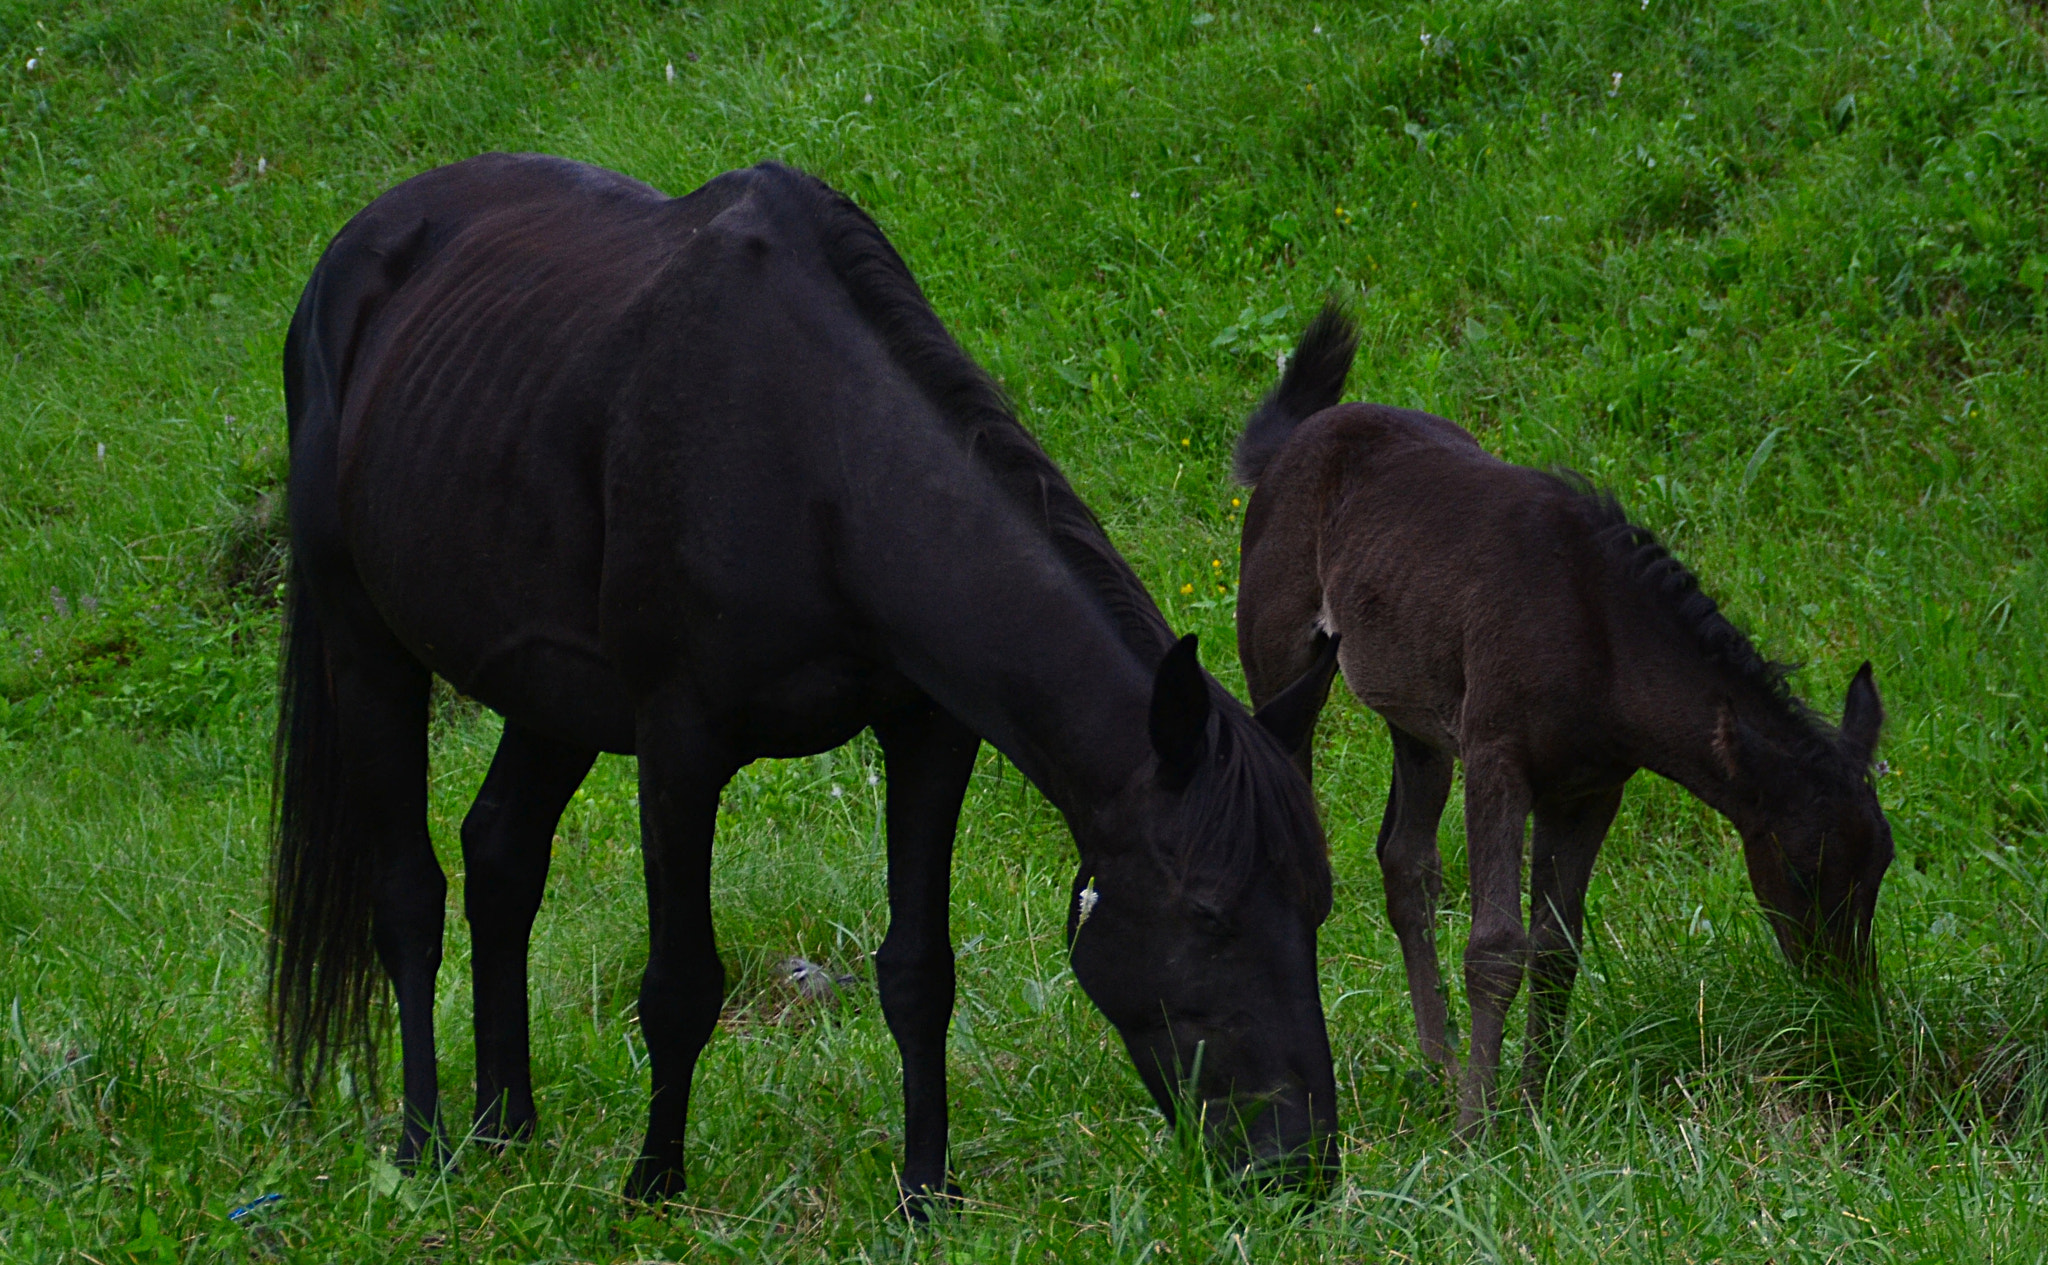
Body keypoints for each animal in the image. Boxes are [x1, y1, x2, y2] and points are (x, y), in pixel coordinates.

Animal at [269, 153, 1343, 1210]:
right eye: (1207, 914)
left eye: (1320, 904)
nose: (1298, 1166)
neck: (820, 462)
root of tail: (347, 257)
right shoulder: (679, 747)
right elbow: (680, 984)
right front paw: (653, 1187)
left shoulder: (928, 732)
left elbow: (918, 971)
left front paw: (926, 1190)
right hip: (366, 644)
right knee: (409, 894)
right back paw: (425, 1145)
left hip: (551, 692)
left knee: (501, 854)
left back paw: (507, 1126)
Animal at [1231, 303, 1893, 1134]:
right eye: (1803, 869)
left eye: (1882, 863)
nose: (1848, 1009)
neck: (1602, 641)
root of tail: (1293, 443)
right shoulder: (1497, 755)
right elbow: (1495, 945)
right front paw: (1476, 1130)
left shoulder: (1589, 785)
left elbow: (1556, 945)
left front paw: (1531, 1101)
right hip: (1281, 660)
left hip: (1416, 712)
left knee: (1406, 859)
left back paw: (1438, 1066)